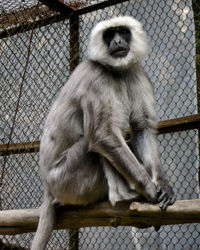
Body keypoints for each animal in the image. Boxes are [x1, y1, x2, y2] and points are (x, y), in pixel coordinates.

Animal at [30, 16, 175, 249]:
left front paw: (163, 184)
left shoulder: (136, 72)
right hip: (66, 180)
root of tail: (48, 188)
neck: (117, 71)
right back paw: (124, 196)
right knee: (96, 144)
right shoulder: (95, 76)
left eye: (122, 32)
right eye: (109, 35)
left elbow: (142, 127)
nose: (116, 42)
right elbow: (102, 134)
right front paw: (151, 191)